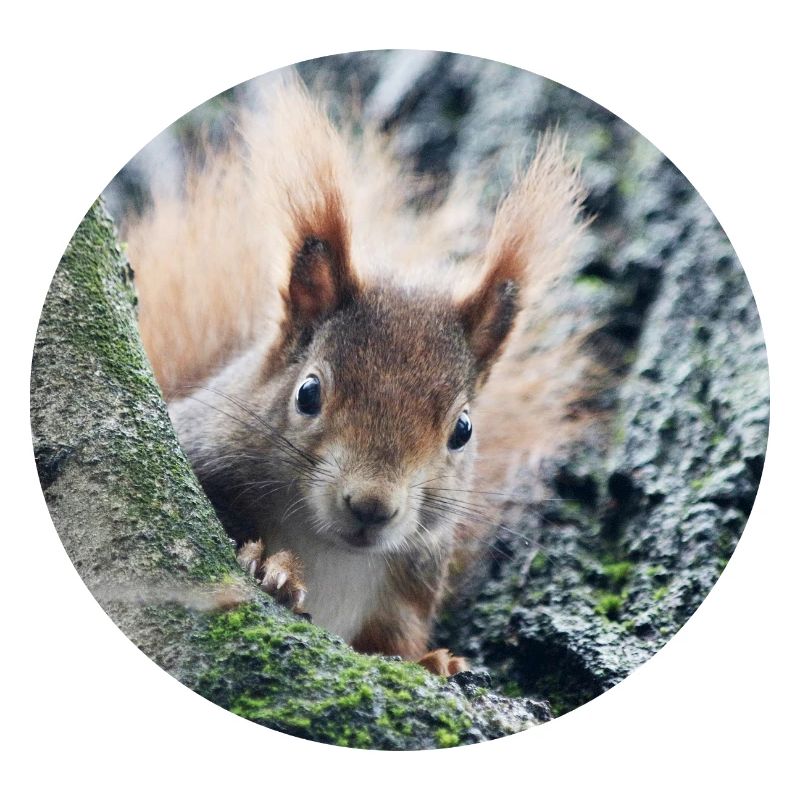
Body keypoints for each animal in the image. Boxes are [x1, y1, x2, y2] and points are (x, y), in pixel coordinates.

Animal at [122, 76, 586, 676]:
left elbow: (396, 644)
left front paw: (436, 662)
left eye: (463, 430)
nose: (372, 506)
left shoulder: (406, 593)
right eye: (308, 393)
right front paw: (273, 568)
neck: (331, 552)